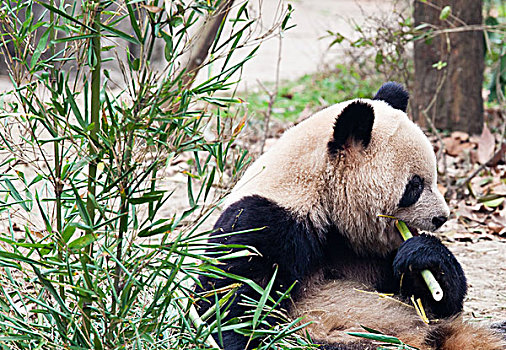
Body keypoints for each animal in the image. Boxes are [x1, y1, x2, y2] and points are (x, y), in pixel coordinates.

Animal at [196, 82, 504, 350]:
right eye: (414, 186)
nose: (442, 217)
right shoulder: (264, 223)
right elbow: (232, 302)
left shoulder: (369, 250)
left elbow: (433, 301)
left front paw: (424, 257)